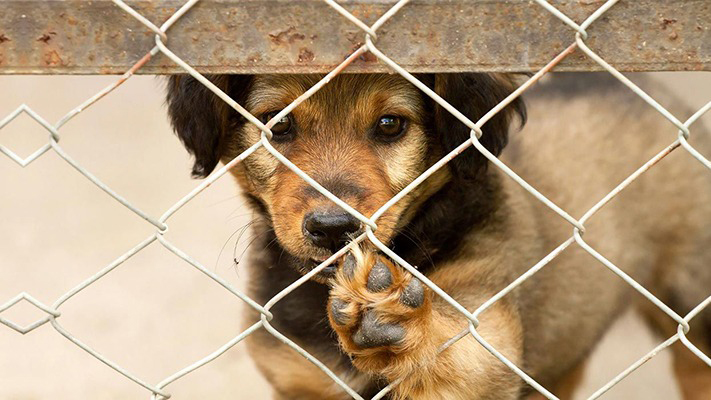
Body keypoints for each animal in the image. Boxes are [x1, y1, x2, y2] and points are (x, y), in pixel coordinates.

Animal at [167, 72, 711, 400]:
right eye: (277, 125)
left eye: (391, 124)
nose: (334, 229)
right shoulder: (298, 381)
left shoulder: (486, 334)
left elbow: (454, 352)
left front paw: (394, 316)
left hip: (692, 301)